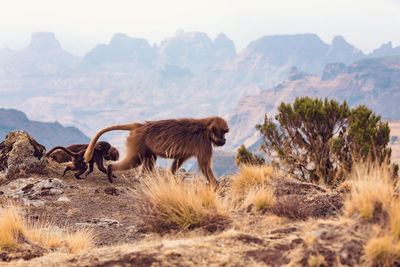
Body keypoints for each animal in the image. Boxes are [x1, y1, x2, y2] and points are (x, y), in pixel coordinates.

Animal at [84, 116, 228, 187]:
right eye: (223, 132)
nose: (224, 140)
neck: (206, 128)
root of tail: (140, 126)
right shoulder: (204, 144)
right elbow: (204, 167)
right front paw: (216, 185)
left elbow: (178, 161)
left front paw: (169, 177)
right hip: (137, 141)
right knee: (135, 160)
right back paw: (110, 170)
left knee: (150, 159)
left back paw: (142, 179)